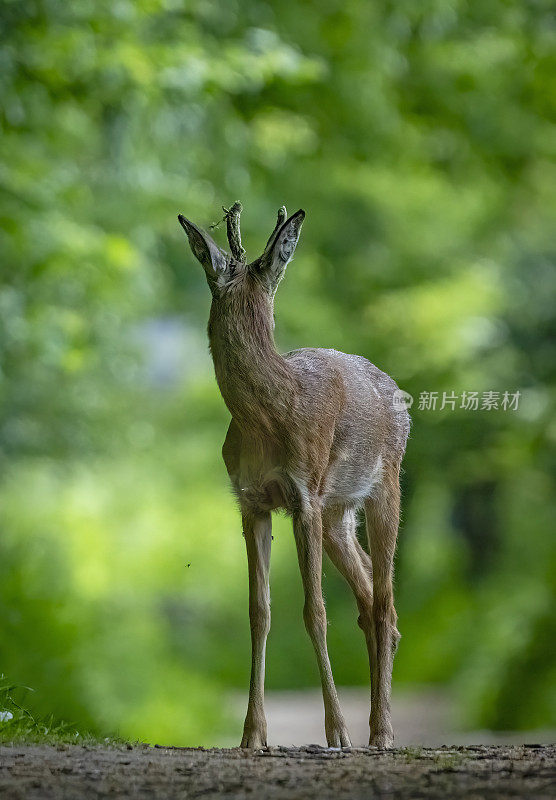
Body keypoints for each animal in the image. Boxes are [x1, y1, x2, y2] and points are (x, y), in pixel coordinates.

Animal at [180, 200, 410, 752]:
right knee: (370, 600)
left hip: (384, 486)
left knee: (384, 603)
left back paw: (380, 731)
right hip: (336, 513)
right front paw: (252, 733)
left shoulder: (304, 494)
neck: (268, 417)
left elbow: (315, 611)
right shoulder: (251, 503)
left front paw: (337, 731)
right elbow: (258, 612)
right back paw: (377, 724)